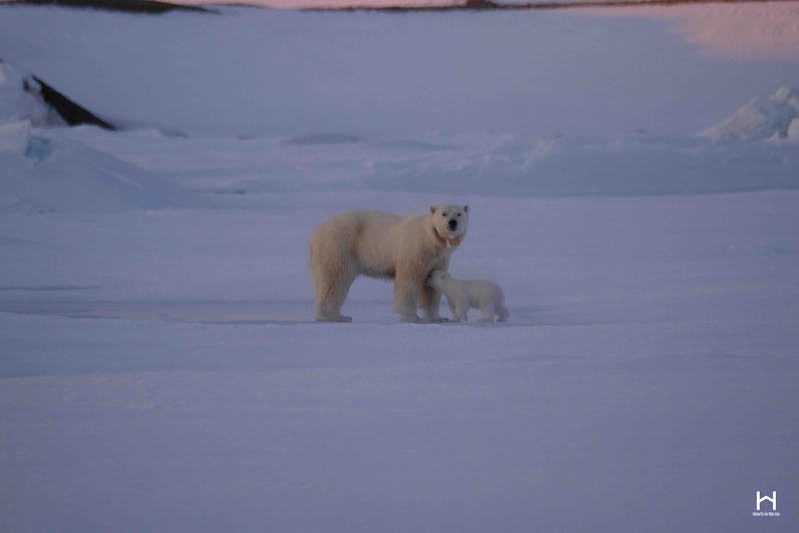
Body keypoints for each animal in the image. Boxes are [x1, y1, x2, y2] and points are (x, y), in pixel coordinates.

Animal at [308, 203, 468, 320]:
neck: (431, 239)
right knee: (334, 280)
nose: (452, 223)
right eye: (444, 213)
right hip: (339, 246)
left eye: (459, 213)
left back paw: (339, 315)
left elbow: (432, 286)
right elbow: (408, 281)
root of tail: (315, 233)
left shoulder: (439, 258)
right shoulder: (415, 251)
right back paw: (333, 317)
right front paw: (411, 317)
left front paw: (437, 318)